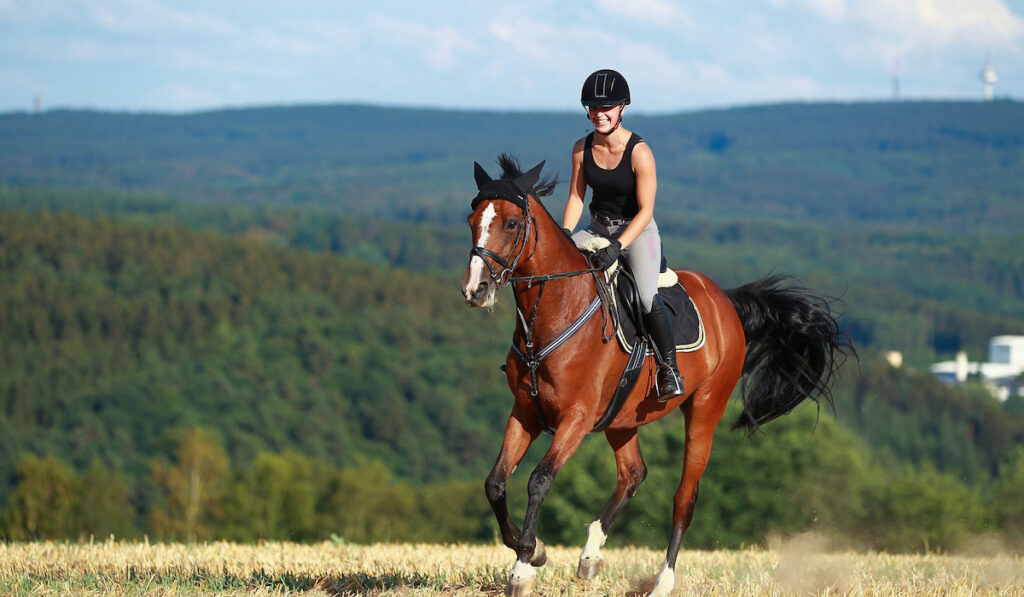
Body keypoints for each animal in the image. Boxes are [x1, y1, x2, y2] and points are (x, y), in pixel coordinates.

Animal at [462, 155, 847, 597]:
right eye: (471, 219)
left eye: (511, 223)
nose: (475, 290)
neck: (555, 310)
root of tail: (725, 302)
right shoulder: (526, 410)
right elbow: (495, 483)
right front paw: (533, 550)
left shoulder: (576, 418)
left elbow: (539, 480)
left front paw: (525, 564)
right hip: (622, 416)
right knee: (633, 473)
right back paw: (590, 556)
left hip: (704, 410)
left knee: (684, 497)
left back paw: (663, 581)